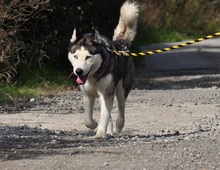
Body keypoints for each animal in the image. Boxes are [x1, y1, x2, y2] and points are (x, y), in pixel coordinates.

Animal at [68, 0, 138, 138]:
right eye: (75, 56)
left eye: (88, 57)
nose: (78, 71)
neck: (93, 77)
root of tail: (121, 43)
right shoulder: (88, 94)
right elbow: (88, 119)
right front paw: (95, 125)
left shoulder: (107, 94)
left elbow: (105, 116)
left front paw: (100, 133)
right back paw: (109, 130)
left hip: (122, 88)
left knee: (121, 106)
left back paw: (119, 125)